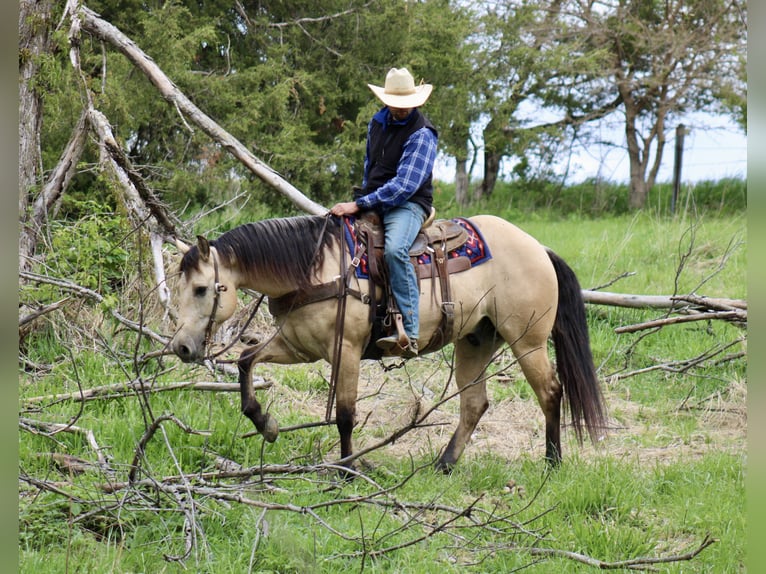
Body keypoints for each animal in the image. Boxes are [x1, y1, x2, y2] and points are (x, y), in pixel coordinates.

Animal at [171, 213, 606, 472]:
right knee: (474, 403)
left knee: (550, 391)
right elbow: (246, 361)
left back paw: (552, 462)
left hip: (527, 341)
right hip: (476, 341)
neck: (315, 268)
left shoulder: (344, 350)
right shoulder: (299, 348)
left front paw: (347, 470)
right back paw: (444, 464)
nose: (182, 348)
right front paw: (266, 425)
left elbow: (345, 414)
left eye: (202, 288)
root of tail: (539, 248)